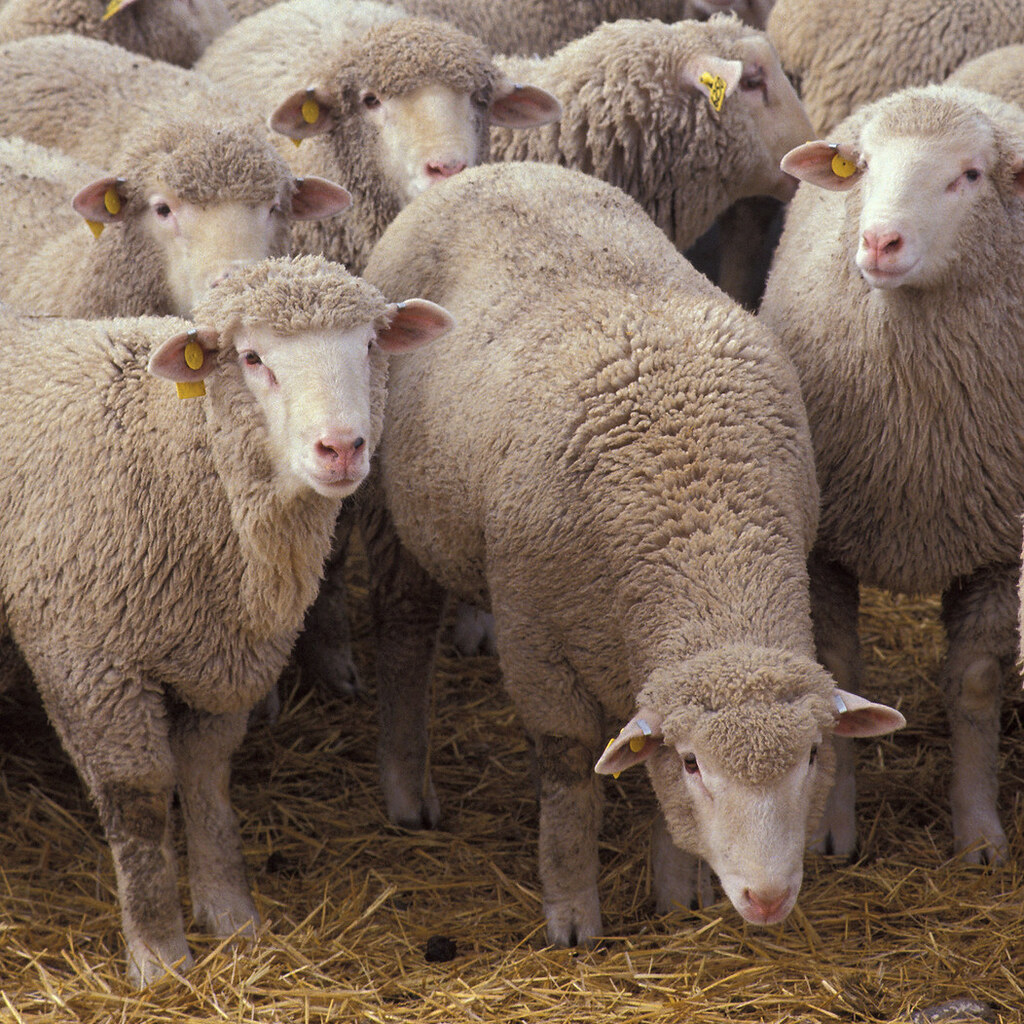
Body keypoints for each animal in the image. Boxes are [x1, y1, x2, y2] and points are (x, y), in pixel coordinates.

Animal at [0, 255, 452, 985]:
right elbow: (140, 801)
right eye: (251, 357)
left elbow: (208, 782)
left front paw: (231, 917)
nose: (341, 448)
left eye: (369, 346)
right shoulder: (87, 658)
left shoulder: (223, 656)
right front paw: (160, 953)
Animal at [360, 161, 905, 944]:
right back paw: (407, 790)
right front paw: (572, 913)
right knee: (403, 634)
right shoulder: (538, 647)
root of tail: (499, 167)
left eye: (809, 754)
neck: (707, 543)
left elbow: (648, 782)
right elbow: (568, 781)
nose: (767, 899)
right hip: (392, 510)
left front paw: (678, 897)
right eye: (696, 764)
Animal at [758, 84, 1024, 865]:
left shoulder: (997, 547)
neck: (918, 434)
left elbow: (975, 685)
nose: (880, 243)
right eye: (865, 165)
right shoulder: (825, 547)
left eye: (970, 175)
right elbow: (838, 674)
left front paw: (979, 833)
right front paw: (829, 827)